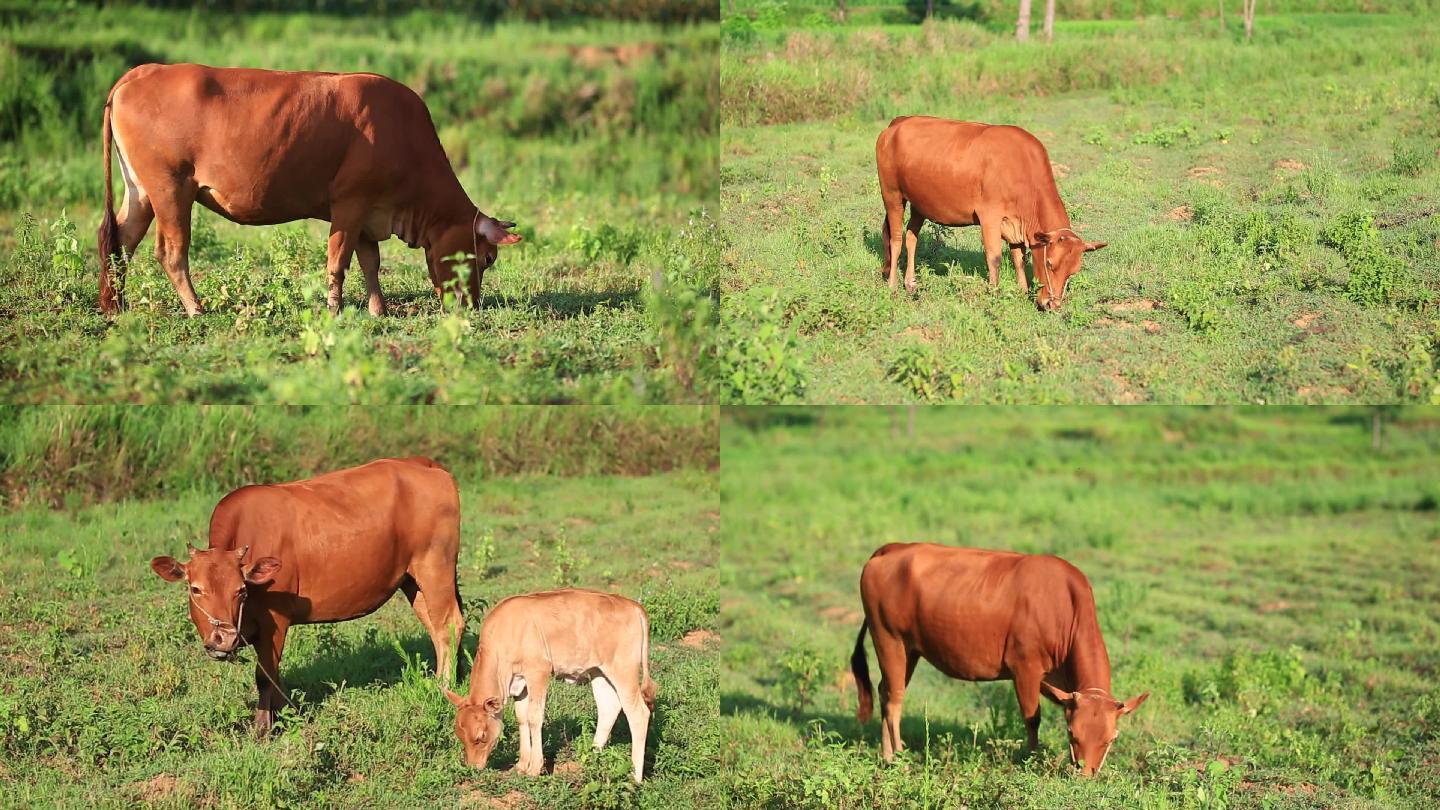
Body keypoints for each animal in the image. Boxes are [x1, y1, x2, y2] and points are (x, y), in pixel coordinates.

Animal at [97, 64, 524, 317]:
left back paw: (115, 304)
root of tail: (142, 72)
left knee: (120, 240)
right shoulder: (350, 203)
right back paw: (195, 307)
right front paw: (335, 310)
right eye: (487, 259)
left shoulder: (369, 212)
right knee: (170, 252)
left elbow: (370, 262)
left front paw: (378, 309)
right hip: (170, 188)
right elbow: (339, 260)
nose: (470, 306)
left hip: (140, 191)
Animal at [147, 455, 460, 732]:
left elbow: (265, 676)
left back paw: (443, 688)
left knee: (449, 626)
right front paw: (288, 712)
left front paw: (263, 729)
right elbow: (275, 676)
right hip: (412, 580)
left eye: (241, 591)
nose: (224, 638)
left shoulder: (275, 621)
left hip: (435, 568)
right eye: (195, 589)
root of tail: (422, 464)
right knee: (435, 629)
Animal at [443, 585, 659, 784]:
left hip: (623, 670)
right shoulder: (520, 683)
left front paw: (534, 768)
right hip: (599, 671)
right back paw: (591, 759)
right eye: (459, 736)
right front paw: (521, 765)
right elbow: (522, 717)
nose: (473, 767)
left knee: (638, 713)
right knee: (608, 708)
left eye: (480, 736)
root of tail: (633, 606)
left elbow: (534, 717)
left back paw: (635, 776)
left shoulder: (539, 671)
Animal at [852, 539, 1146, 772]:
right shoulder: (1025, 668)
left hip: (909, 649)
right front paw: (1029, 758)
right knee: (895, 700)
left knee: (885, 691)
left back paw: (886, 754)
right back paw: (898, 757)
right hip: (889, 638)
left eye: (1111, 739)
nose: (1085, 774)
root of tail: (892, 548)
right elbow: (1032, 718)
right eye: (1072, 732)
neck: (1063, 608)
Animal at [869, 116, 1105, 308]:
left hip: (919, 202)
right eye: (1049, 263)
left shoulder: (1014, 224)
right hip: (892, 195)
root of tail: (897, 123)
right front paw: (995, 293)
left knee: (911, 236)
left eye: (1073, 271)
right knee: (896, 239)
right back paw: (893, 286)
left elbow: (1019, 257)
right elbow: (995, 258)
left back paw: (911, 284)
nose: (1052, 304)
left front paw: (1022, 291)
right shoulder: (989, 216)